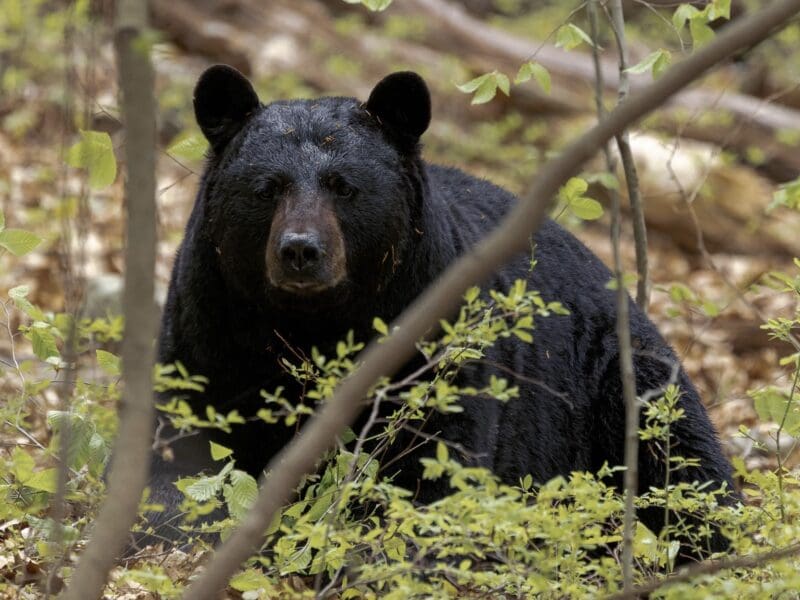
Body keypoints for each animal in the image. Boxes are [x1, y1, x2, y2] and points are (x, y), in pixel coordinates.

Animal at [140, 64, 737, 557]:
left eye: (343, 187)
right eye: (267, 188)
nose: (300, 250)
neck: (313, 324)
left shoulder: (434, 338)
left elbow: (435, 462)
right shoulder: (210, 324)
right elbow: (181, 446)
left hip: (616, 377)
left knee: (683, 461)